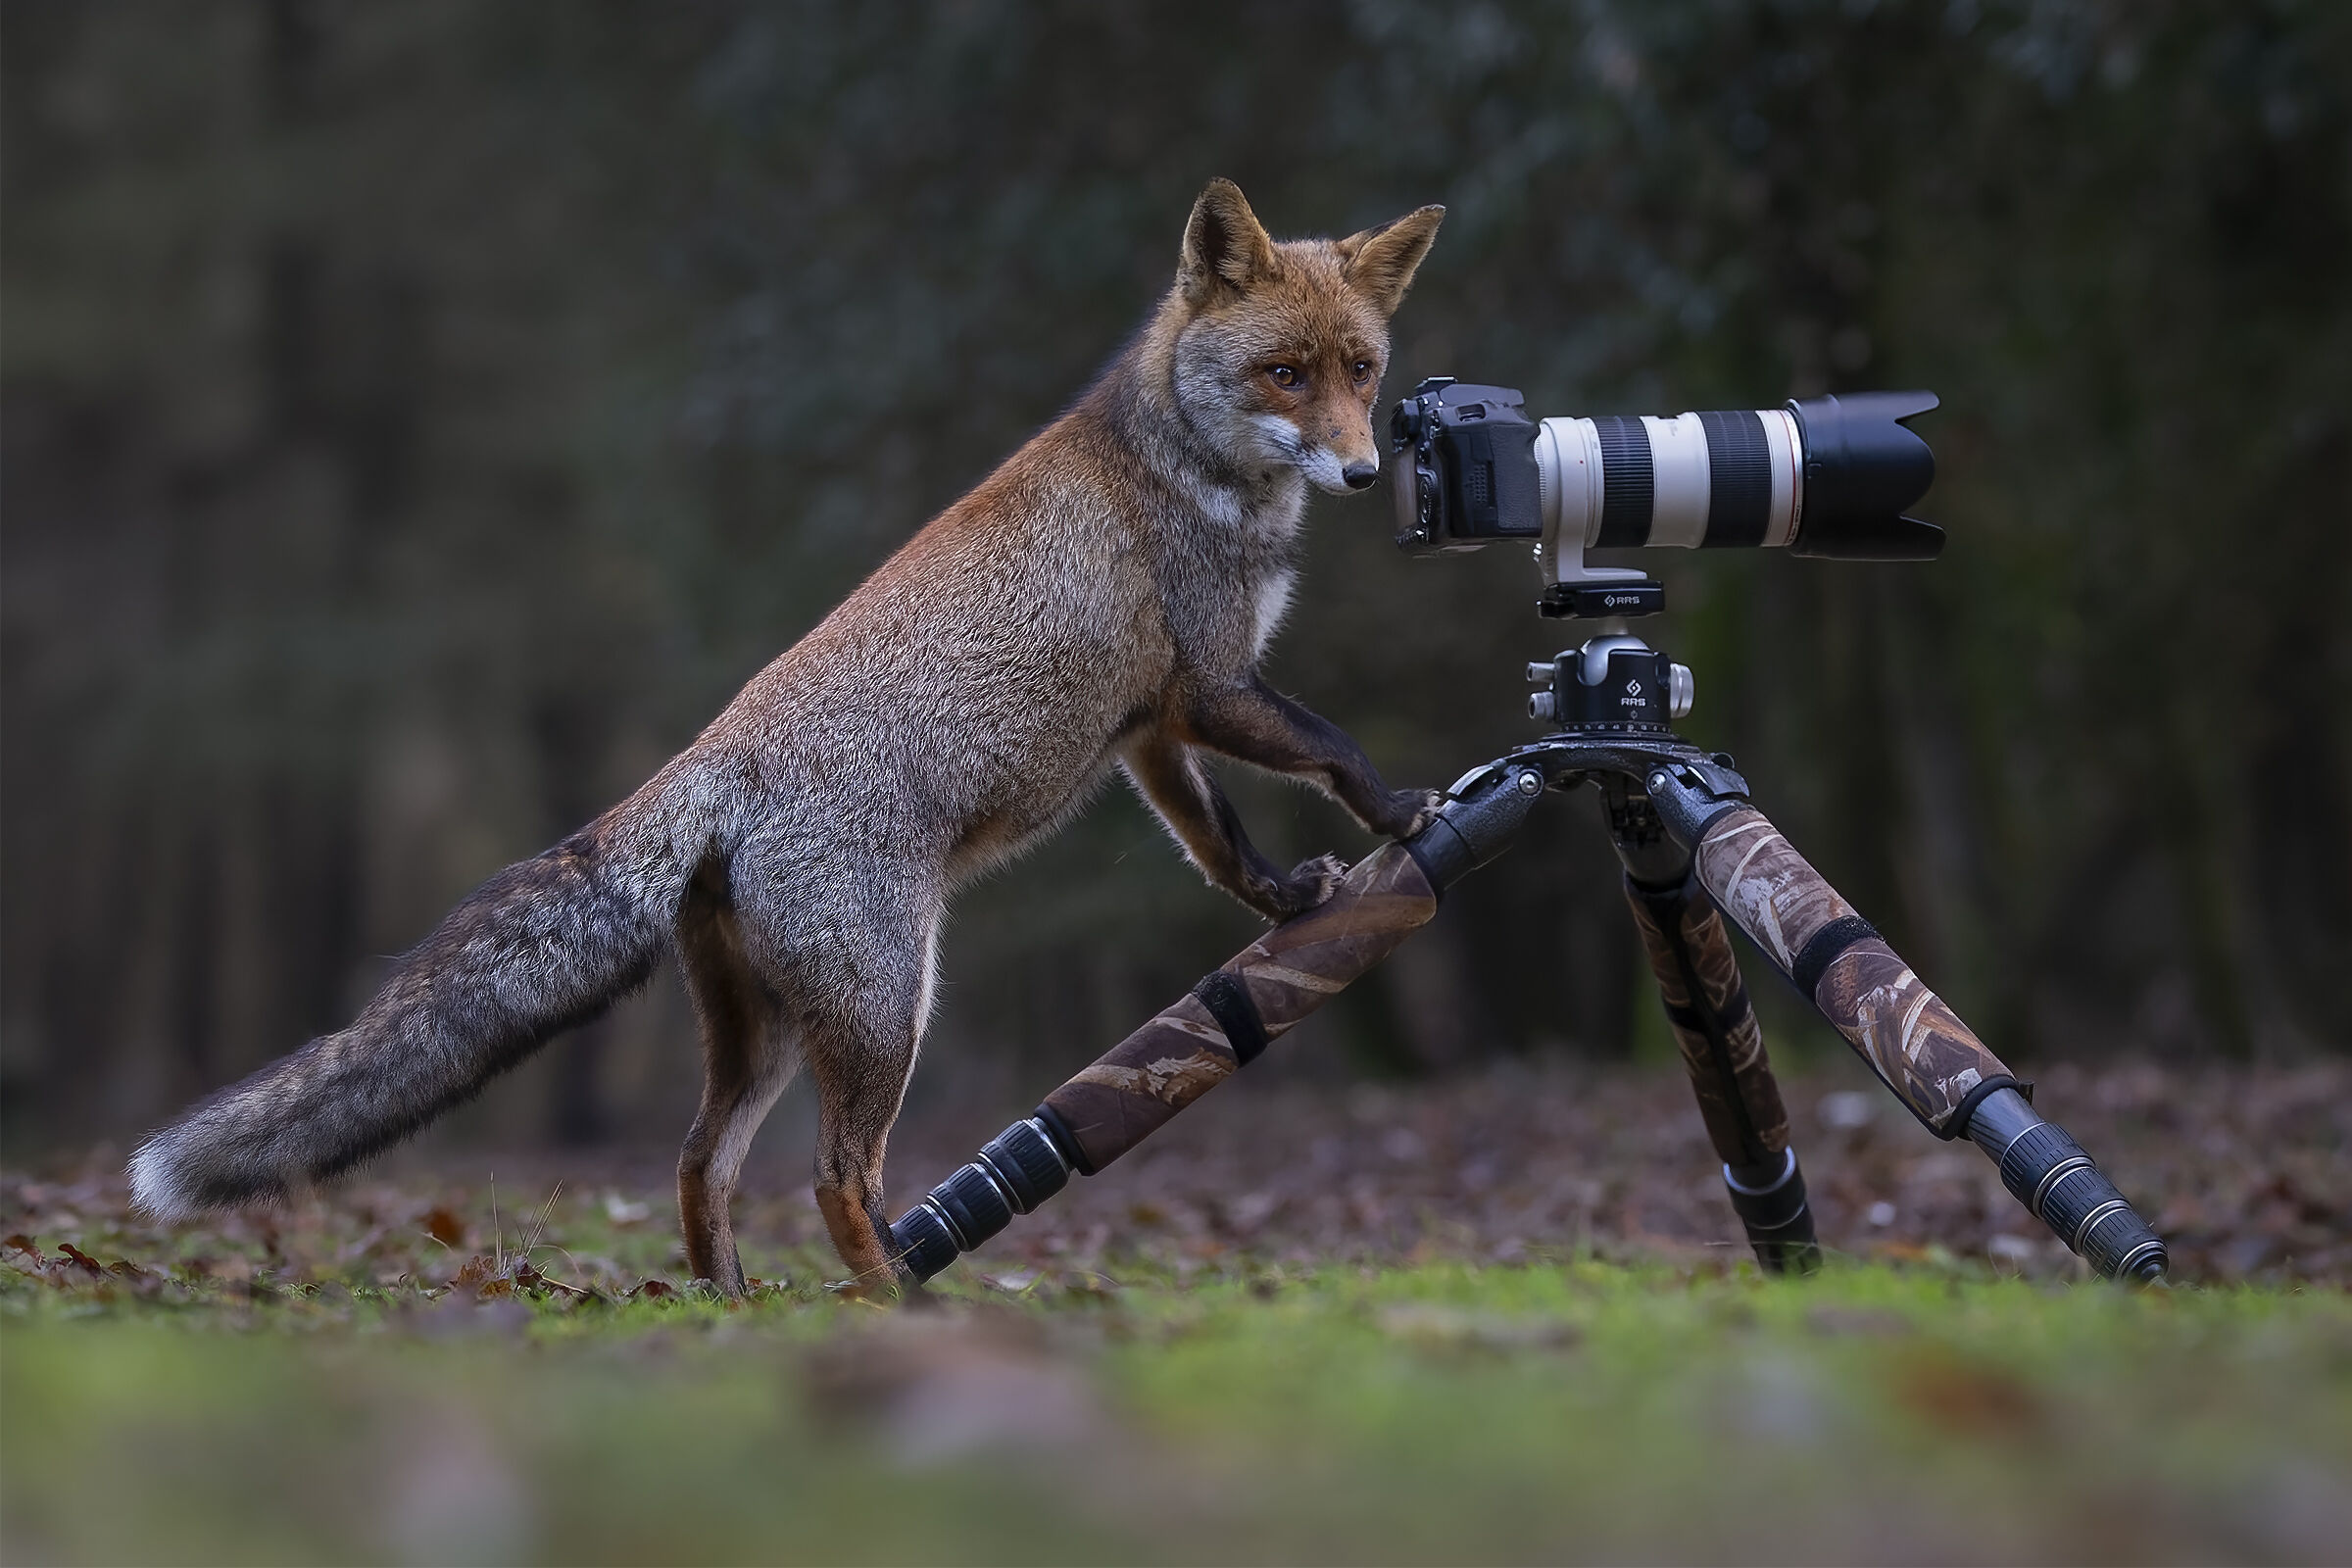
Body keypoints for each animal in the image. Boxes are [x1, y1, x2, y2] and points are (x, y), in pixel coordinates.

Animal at [129, 180, 1447, 1297]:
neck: (1183, 467)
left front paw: (1290, 901)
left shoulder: (1153, 727)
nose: (1363, 470)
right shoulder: (1214, 687)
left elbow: (1219, 846)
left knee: (699, 1163)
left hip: (765, 1031)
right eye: (1283, 373)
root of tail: (707, 761)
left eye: (1361, 370)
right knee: (833, 1177)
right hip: (889, 1005)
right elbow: (1332, 747)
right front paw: (1403, 813)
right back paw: (896, 1303)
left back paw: (728, 1309)